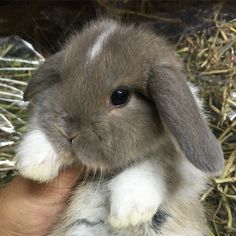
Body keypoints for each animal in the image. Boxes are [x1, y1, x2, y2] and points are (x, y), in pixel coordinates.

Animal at [15, 18, 224, 236]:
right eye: (62, 80)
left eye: (120, 96)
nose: (69, 133)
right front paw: (33, 163)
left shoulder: (183, 170)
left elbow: (153, 164)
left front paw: (128, 212)